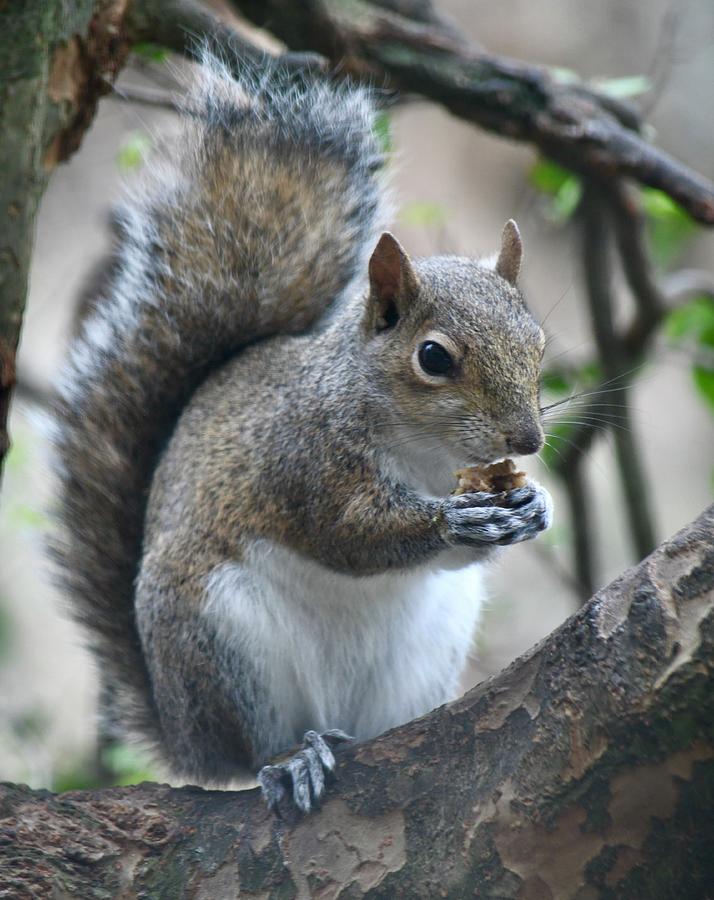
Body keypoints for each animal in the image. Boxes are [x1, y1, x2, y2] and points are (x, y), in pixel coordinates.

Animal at [52, 45, 552, 812]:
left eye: (539, 341)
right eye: (434, 358)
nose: (526, 442)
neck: (428, 456)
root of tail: (183, 735)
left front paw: (531, 505)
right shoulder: (303, 458)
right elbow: (346, 534)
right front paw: (453, 522)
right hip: (222, 642)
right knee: (252, 745)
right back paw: (291, 756)